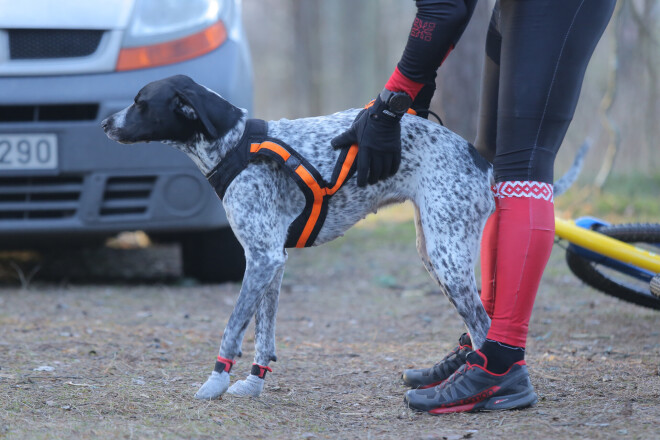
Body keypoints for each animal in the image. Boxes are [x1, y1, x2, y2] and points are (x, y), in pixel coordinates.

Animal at [102, 75, 496, 398]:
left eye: (141, 102)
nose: (105, 123)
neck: (235, 146)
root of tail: (481, 160)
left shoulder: (262, 258)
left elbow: (233, 328)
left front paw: (216, 381)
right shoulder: (271, 261)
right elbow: (263, 333)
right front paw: (253, 382)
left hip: (448, 259)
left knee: (483, 327)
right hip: (434, 253)